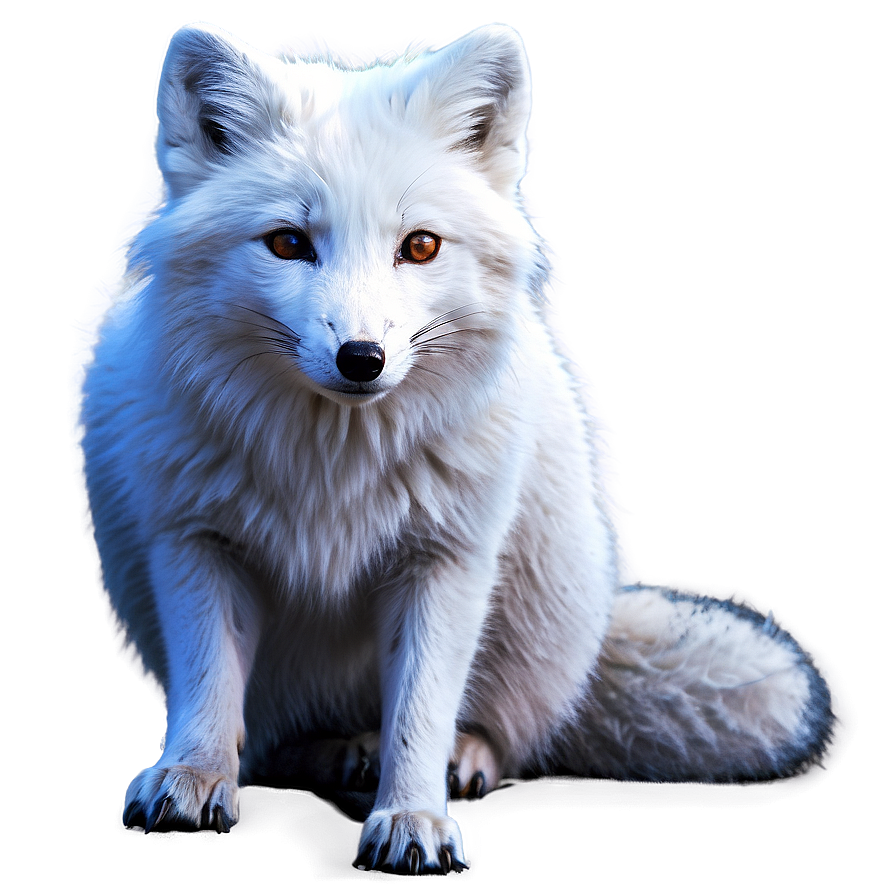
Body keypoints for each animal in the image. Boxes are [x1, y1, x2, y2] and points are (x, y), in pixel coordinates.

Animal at [79, 23, 836, 874]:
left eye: (420, 246)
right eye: (288, 243)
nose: (362, 358)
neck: (333, 467)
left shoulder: (443, 561)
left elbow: (421, 710)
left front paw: (412, 816)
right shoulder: (193, 544)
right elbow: (209, 685)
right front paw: (193, 776)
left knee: (508, 731)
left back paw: (454, 759)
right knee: (279, 739)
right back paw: (336, 754)